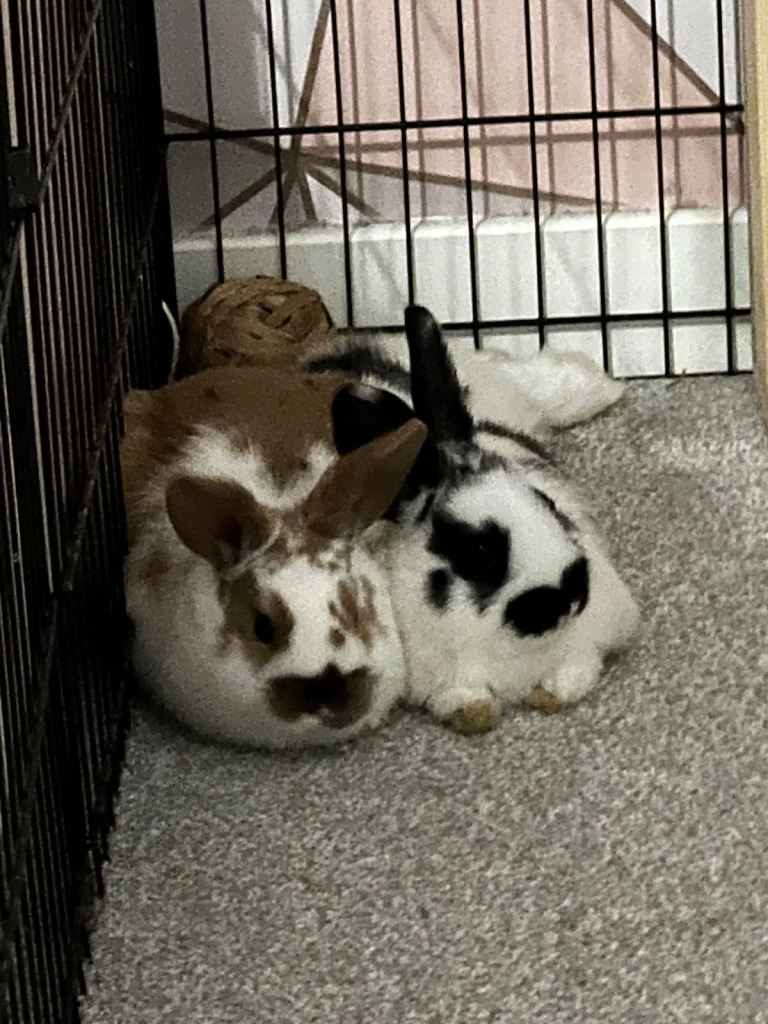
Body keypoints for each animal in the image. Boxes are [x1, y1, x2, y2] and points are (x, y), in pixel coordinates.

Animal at [304, 306, 640, 734]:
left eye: (547, 503)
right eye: (480, 554)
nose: (567, 601)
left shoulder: (586, 637)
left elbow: (577, 668)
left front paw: (551, 695)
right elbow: (460, 697)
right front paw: (478, 713)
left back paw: (599, 387)